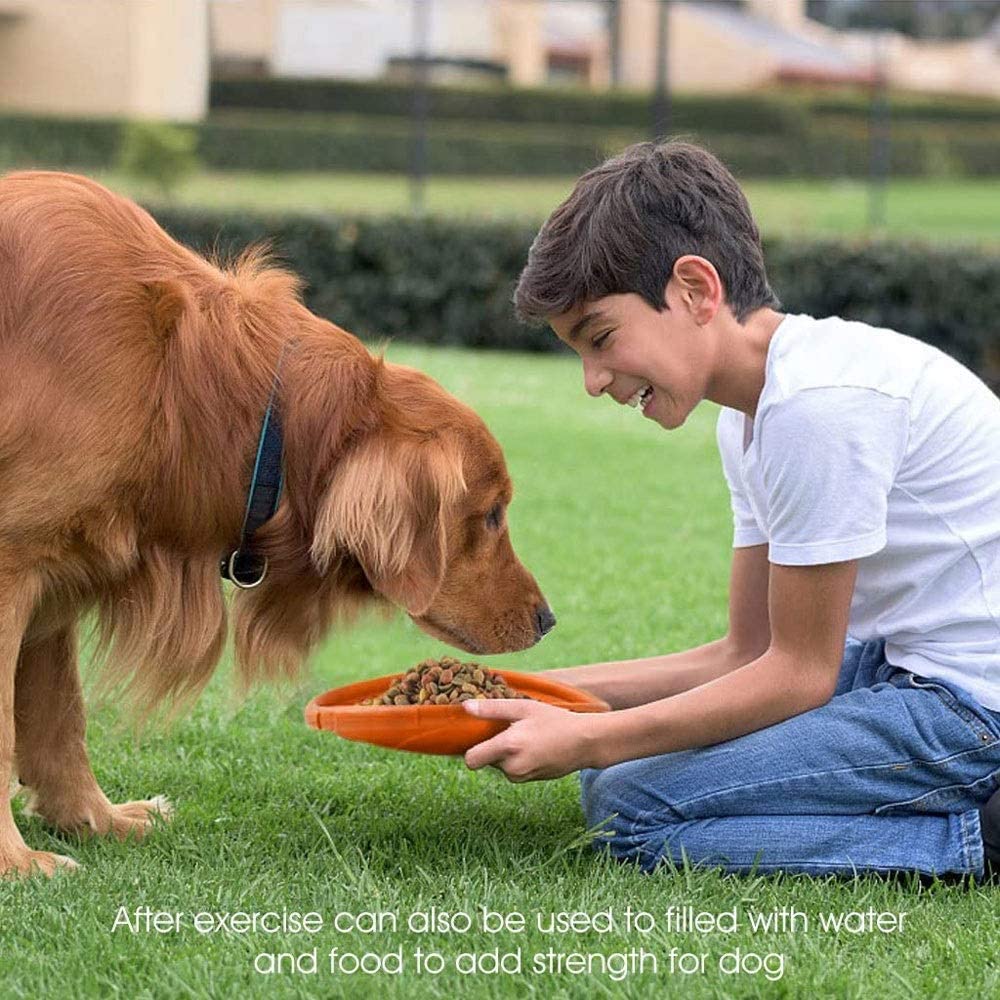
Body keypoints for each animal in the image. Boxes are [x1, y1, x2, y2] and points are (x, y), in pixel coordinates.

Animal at [0, 176, 556, 880]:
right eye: (491, 513)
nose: (548, 620)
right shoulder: (12, 567)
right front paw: (15, 861)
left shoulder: (53, 571)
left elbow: (59, 715)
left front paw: (95, 819)